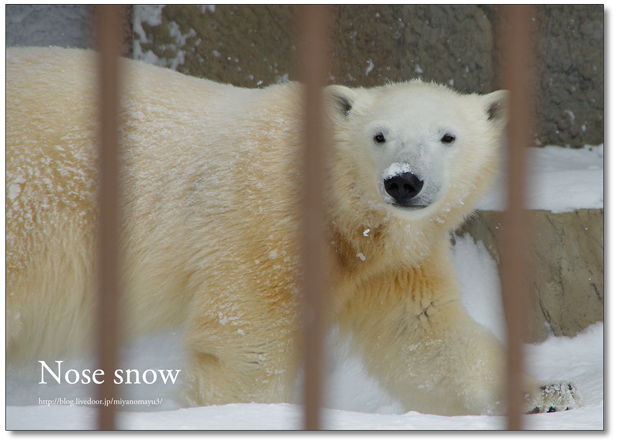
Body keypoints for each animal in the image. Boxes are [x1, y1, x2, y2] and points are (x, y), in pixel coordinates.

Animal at [6, 47, 580, 414]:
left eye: (447, 136)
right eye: (379, 136)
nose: (403, 182)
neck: (344, 210)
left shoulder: (390, 260)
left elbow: (421, 333)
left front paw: (551, 392)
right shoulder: (265, 221)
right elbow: (249, 342)